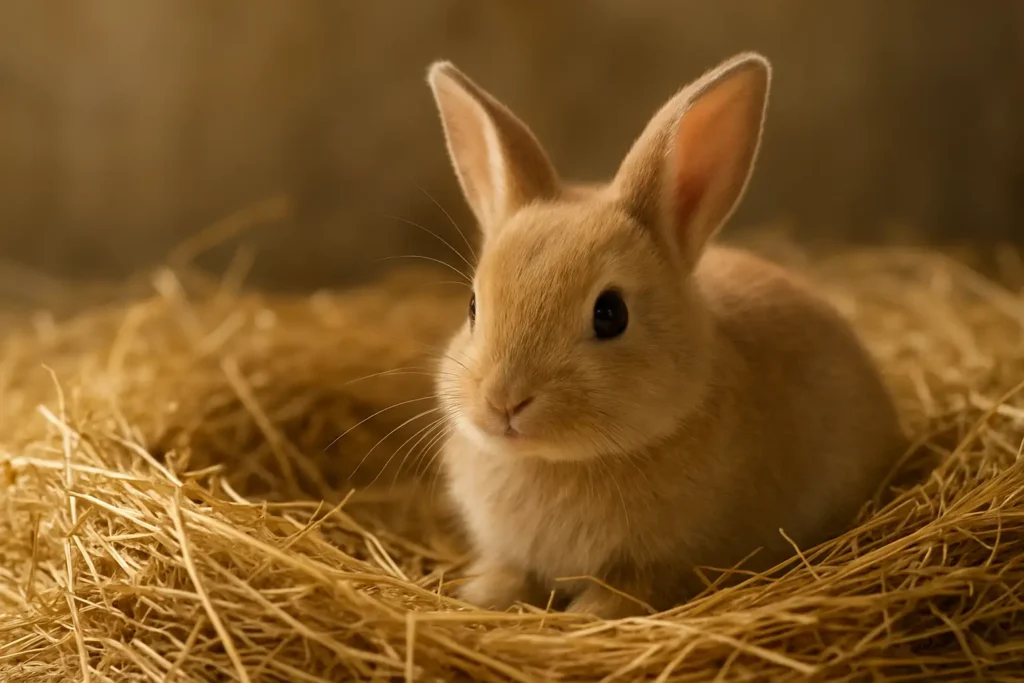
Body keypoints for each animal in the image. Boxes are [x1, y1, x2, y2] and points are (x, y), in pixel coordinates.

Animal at [425, 52, 906, 619]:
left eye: (610, 313)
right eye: (473, 307)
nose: (504, 401)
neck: (557, 461)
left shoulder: (658, 570)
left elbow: (617, 597)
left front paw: (582, 616)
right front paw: (480, 596)